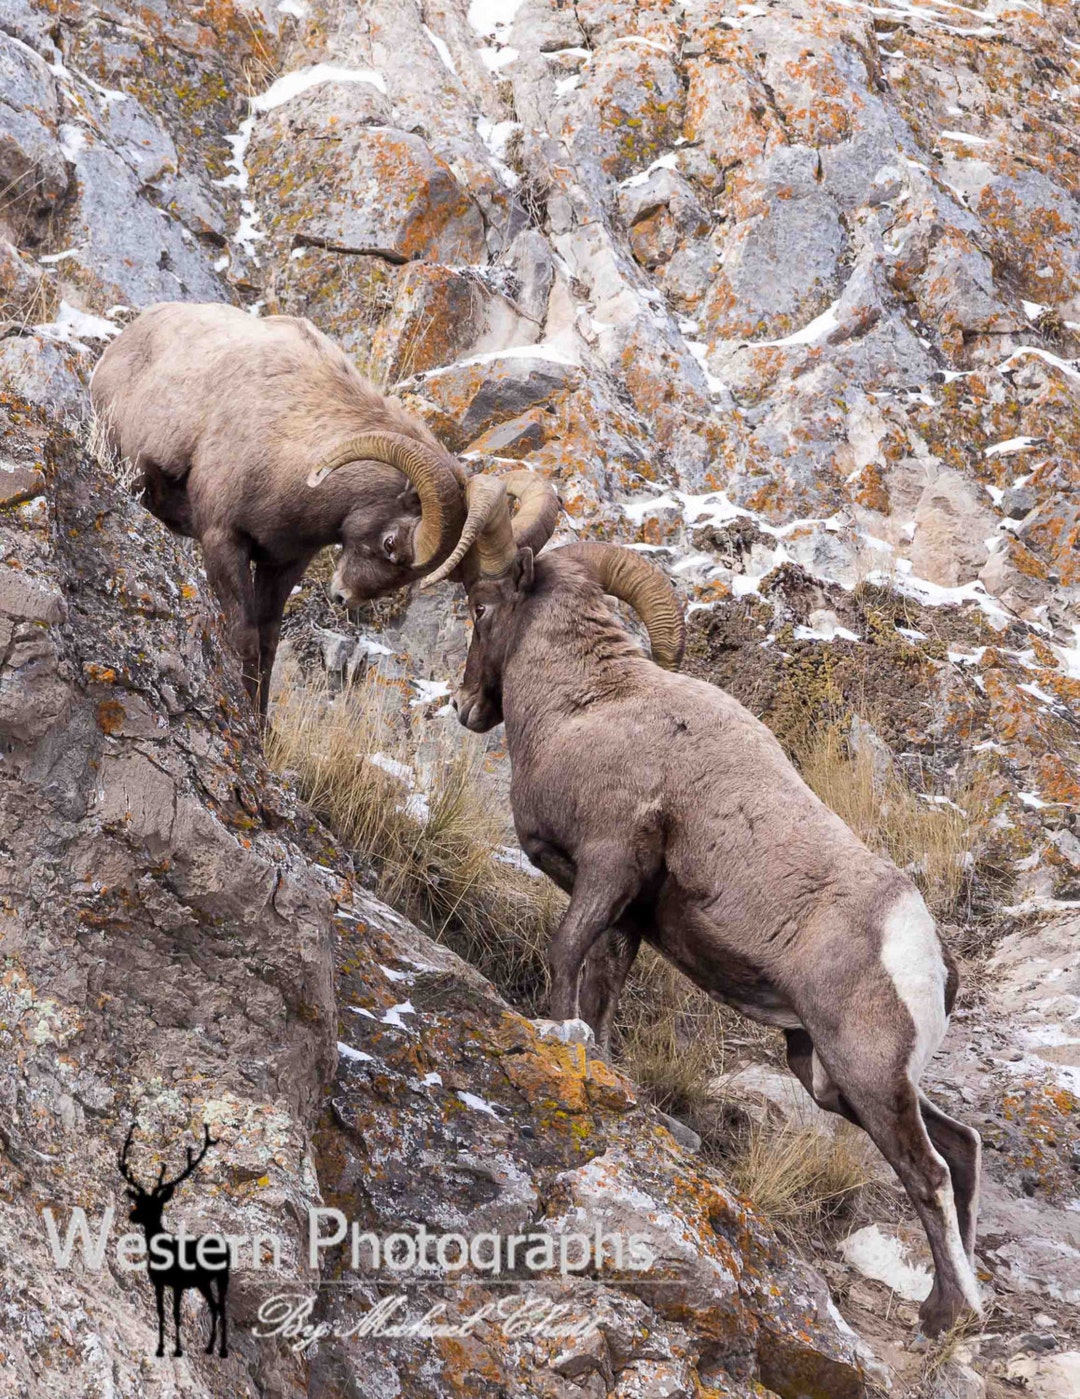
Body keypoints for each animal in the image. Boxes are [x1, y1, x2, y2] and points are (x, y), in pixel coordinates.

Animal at [91, 301, 490, 716]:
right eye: (391, 542)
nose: (344, 597)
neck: (290, 441)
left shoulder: (283, 563)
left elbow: (268, 646)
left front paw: (263, 723)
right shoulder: (223, 541)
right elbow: (245, 638)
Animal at [427, 476, 983, 1338]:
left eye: (482, 607)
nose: (464, 704)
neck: (587, 704)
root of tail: (924, 946)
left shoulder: (610, 864)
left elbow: (565, 955)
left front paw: (557, 1036)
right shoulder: (627, 914)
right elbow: (602, 993)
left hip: (864, 1074)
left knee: (925, 1170)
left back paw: (947, 1316)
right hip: (835, 1077)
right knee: (959, 1148)